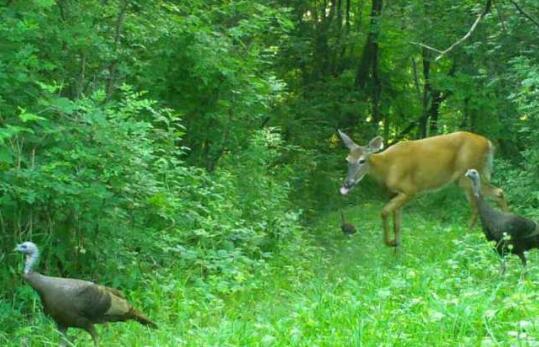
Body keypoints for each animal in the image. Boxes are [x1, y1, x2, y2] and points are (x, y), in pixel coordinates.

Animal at [340, 130, 508, 247]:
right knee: (498, 192)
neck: (387, 167)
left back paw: (468, 235)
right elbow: (397, 224)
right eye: (347, 160)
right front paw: (396, 248)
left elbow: (384, 212)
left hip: (466, 175)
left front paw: (390, 243)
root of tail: (488, 143)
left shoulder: (410, 190)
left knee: (480, 202)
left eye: (362, 161)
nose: (347, 184)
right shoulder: (395, 193)